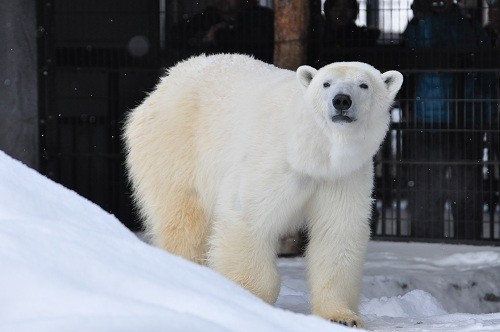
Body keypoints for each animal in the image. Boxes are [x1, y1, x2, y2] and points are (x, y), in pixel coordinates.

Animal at [125, 53, 402, 328]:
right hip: (176, 146)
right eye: (326, 83)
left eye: (364, 85)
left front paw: (342, 317)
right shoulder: (272, 162)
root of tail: (163, 84)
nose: (341, 100)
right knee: (184, 222)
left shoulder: (343, 176)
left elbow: (337, 233)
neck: (312, 153)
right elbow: (248, 219)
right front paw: (249, 301)